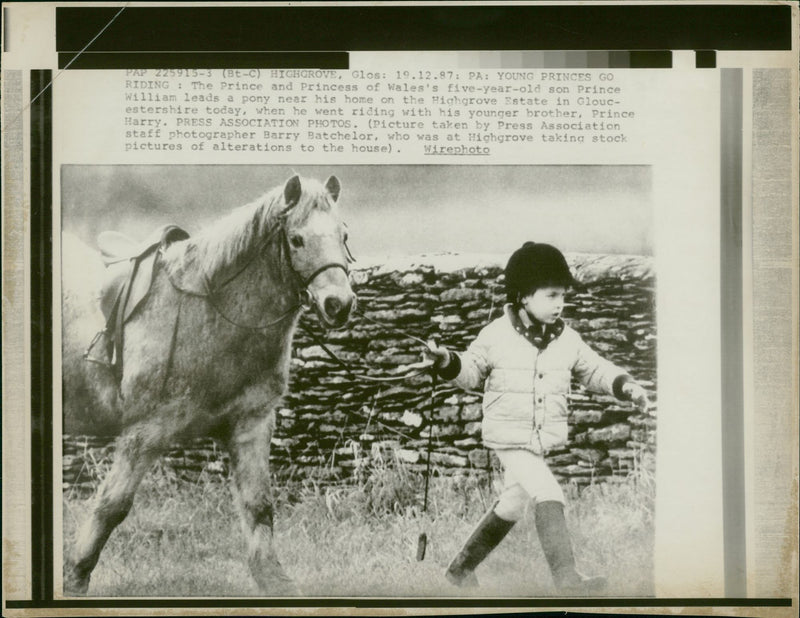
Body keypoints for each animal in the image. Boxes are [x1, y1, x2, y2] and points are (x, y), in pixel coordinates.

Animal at [64, 172, 358, 592]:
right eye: (297, 239)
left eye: (343, 234)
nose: (339, 304)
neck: (206, 309)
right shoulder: (144, 433)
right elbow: (111, 506)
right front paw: (75, 577)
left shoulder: (251, 425)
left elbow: (258, 505)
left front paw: (274, 581)